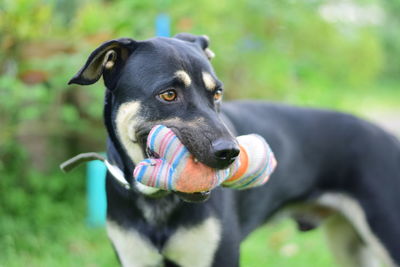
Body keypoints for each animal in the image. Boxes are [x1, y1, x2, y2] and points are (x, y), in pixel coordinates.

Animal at [69, 34, 400, 267]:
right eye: (168, 95)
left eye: (217, 94)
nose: (231, 152)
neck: (158, 203)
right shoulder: (136, 258)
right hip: (349, 244)